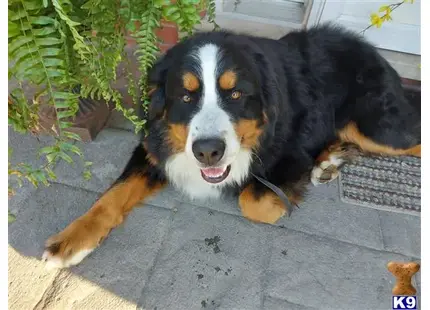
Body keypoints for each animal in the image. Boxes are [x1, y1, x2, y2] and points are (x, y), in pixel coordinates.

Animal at [42, 24, 420, 268]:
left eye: (236, 94)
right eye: (186, 96)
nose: (208, 151)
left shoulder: (290, 154)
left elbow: (255, 202)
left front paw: (280, 200)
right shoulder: (153, 147)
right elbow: (110, 197)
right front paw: (70, 241)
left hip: (379, 128)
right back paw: (332, 158)